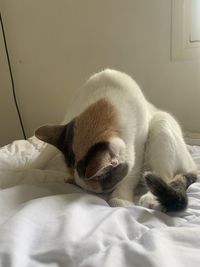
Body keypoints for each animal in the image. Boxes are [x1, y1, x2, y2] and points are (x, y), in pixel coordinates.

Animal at [28, 70, 197, 213]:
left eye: (105, 189)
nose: (101, 195)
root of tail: (193, 165)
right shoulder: (68, 118)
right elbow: (45, 153)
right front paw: (27, 169)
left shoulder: (138, 144)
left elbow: (131, 172)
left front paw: (120, 198)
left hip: (161, 123)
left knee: (164, 175)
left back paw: (150, 197)